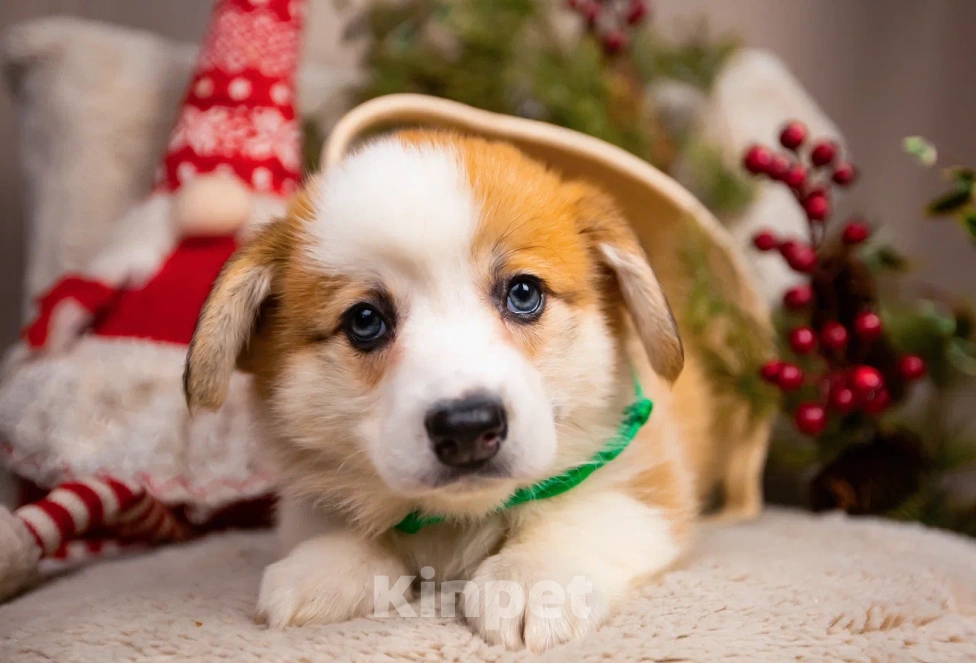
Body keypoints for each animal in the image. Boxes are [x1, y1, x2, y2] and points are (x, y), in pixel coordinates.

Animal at [185, 130, 716, 652]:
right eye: (365, 321)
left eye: (524, 293)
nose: (467, 428)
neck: (457, 520)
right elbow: (333, 520)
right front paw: (327, 565)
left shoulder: (648, 478)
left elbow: (585, 511)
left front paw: (534, 577)